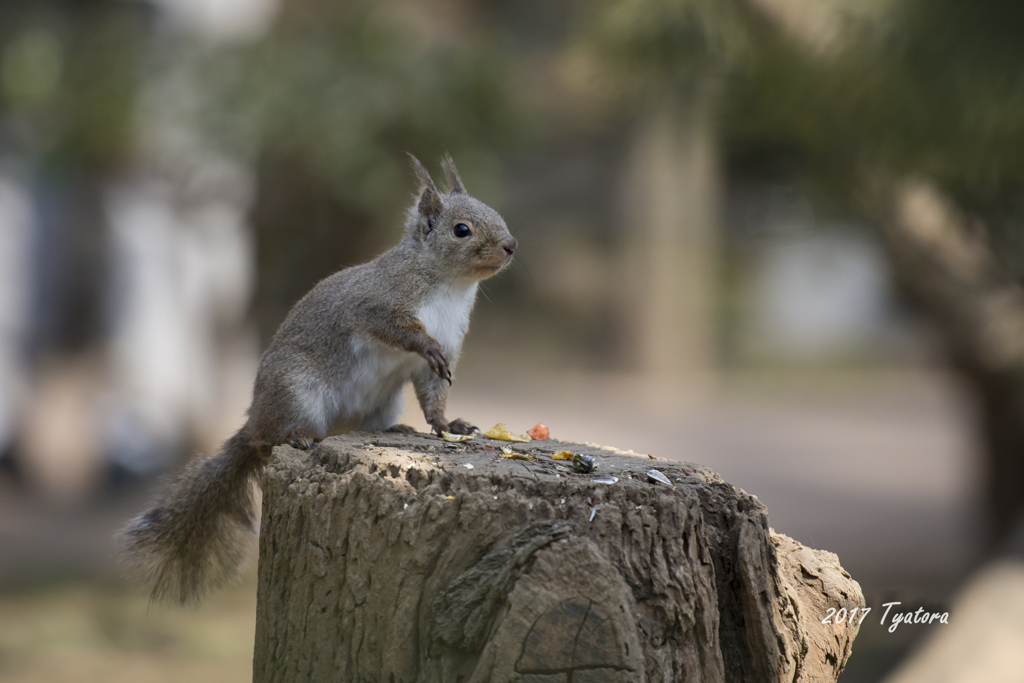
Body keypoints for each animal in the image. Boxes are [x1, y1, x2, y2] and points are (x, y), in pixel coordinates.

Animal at [118, 153, 516, 602]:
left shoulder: (446, 346)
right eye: (461, 230)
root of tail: (255, 420)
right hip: (297, 392)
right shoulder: (376, 303)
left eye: (496, 214)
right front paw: (423, 345)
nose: (510, 245)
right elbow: (397, 330)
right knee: (268, 440)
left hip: (382, 401)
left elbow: (435, 397)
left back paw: (392, 427)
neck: (450, 286)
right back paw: (294, 436)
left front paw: (450, 424)